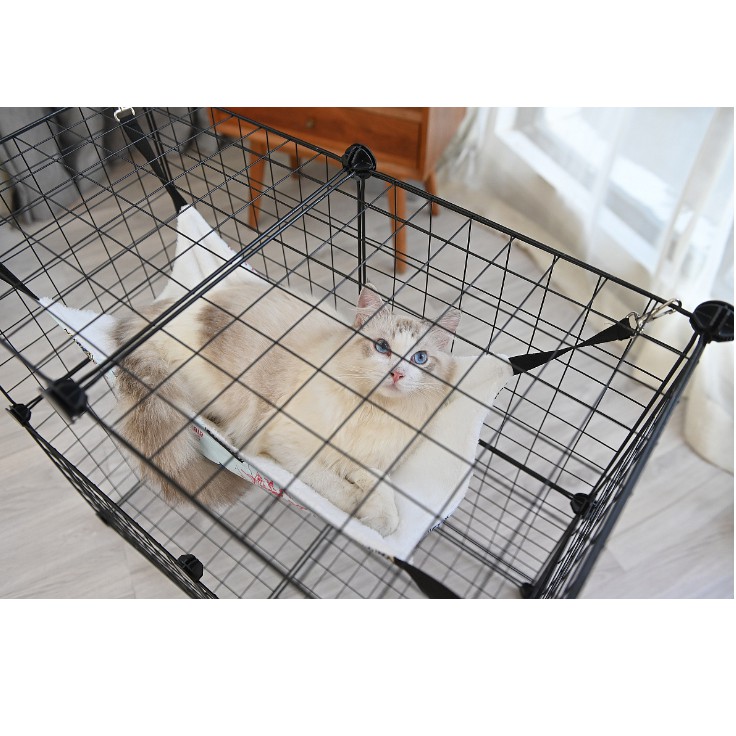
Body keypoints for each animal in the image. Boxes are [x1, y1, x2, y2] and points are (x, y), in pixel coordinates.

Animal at [113, 280, 460, 537]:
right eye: (382, 347)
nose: (397, 374)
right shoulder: (289, 444)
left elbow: (381, 493)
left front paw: (379, 518)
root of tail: (161, 310)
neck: (371, 409)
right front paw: (357, 506)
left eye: (420, 358)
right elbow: (331, 483)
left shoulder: (368, 456)